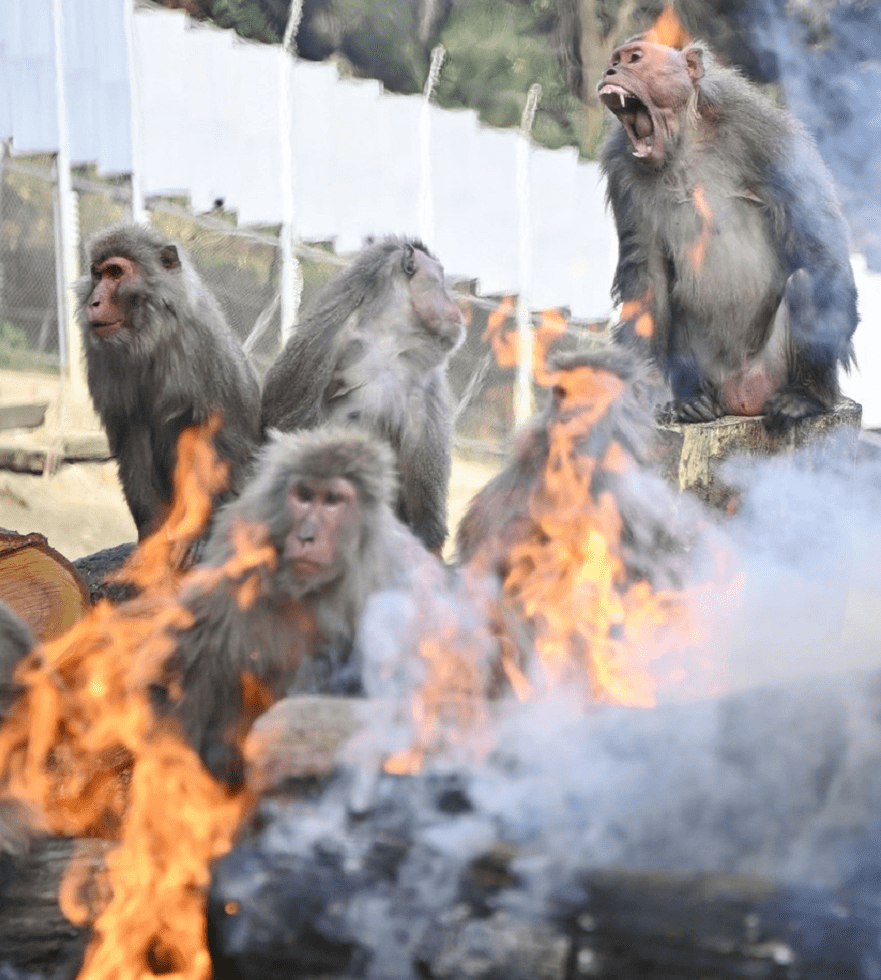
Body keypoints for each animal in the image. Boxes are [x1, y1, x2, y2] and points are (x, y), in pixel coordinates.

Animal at [76, 224, 262, 544]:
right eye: (97, 275)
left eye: (115, 272)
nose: (94, 302)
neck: (151, 334)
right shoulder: (102, 355)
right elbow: (131, 433)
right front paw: (151, 530)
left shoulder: (202, 345)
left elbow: (220, 436)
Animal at [152, 424, 450, 784]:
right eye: (304, 496)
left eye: (333, 501)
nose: (307, 535)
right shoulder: (243, 545)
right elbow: (201, 653)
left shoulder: (395, 577)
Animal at [596, 38, 856, 428]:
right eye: (615, 60)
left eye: (634, 59)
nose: (610, 70)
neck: (685, 140)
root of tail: (741, 398)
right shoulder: (621, 167)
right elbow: (647, 279)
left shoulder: (763, 131)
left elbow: (817, 241)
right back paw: (691, 401)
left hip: (771, 370)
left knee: (811, 277)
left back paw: (807, 395)